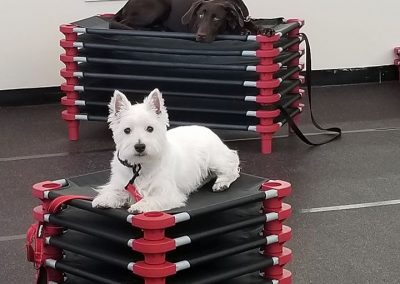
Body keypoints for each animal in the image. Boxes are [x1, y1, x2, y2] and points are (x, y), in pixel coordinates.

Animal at [92, 89, 239, 213]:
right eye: (127, 130)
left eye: (150, 128)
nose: (140, 146)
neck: (140, 165)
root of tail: (206, 129)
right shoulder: (120, 183)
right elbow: (113, 191)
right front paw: (103, 199)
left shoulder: (166, 192)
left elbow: (152, 199)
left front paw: (139, 206)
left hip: (215, 160)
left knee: (232, 168)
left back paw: (221, 183)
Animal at [110, 0, 253, 42]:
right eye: (200, 15)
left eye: (216, 18)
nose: (201, 36)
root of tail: (125, 5)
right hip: (158, 8)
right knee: (122, 23)